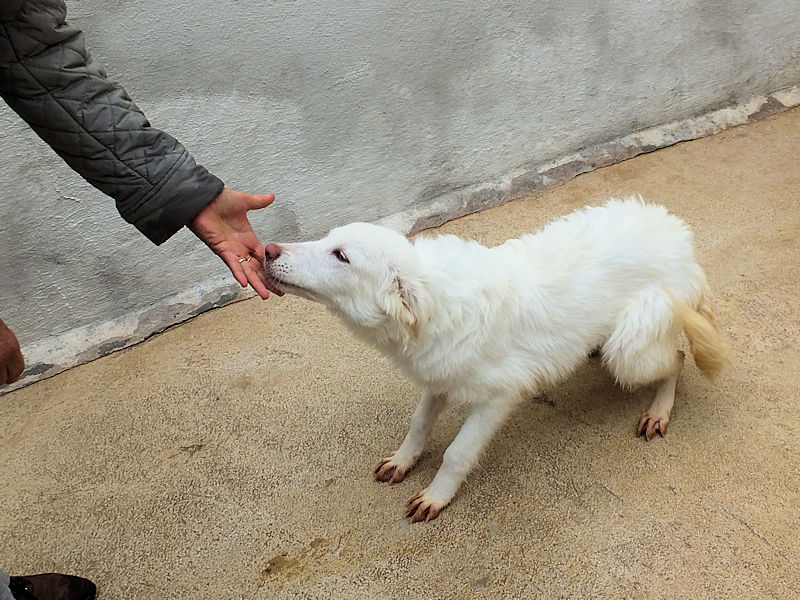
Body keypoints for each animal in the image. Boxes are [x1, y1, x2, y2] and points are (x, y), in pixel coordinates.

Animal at [263, 197, 730, 522]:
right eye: (327, 239)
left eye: (341, 256)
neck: (435, 304)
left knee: (677, 359)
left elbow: (457, 453)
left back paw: (659, 410)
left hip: (630, 349)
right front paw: (403, 460)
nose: (267, 250)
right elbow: (418, 424)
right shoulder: (441, 377)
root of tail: (684, 243)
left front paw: (436, 496)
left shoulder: (498, 397)